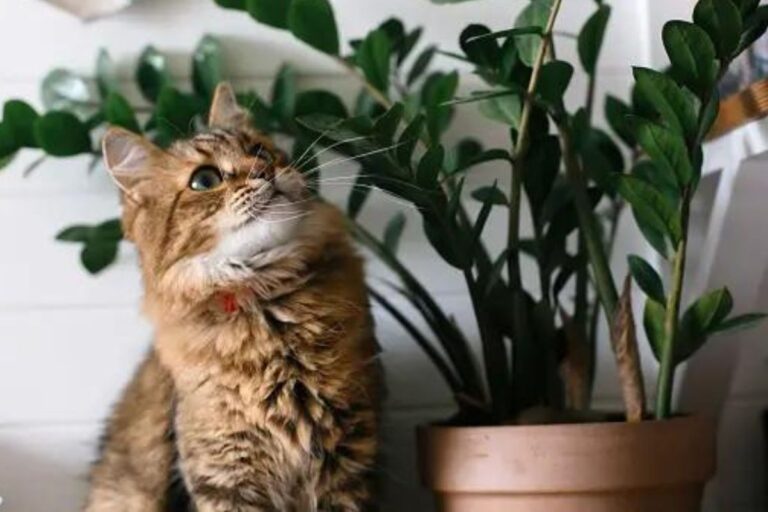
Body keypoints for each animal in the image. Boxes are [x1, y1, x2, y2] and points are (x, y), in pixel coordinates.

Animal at [84, 82, 380, 510]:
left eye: (259, 151)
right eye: (205, 180)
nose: (264, 170)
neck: (264, 301)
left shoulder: (348, 458)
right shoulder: (224, 474)